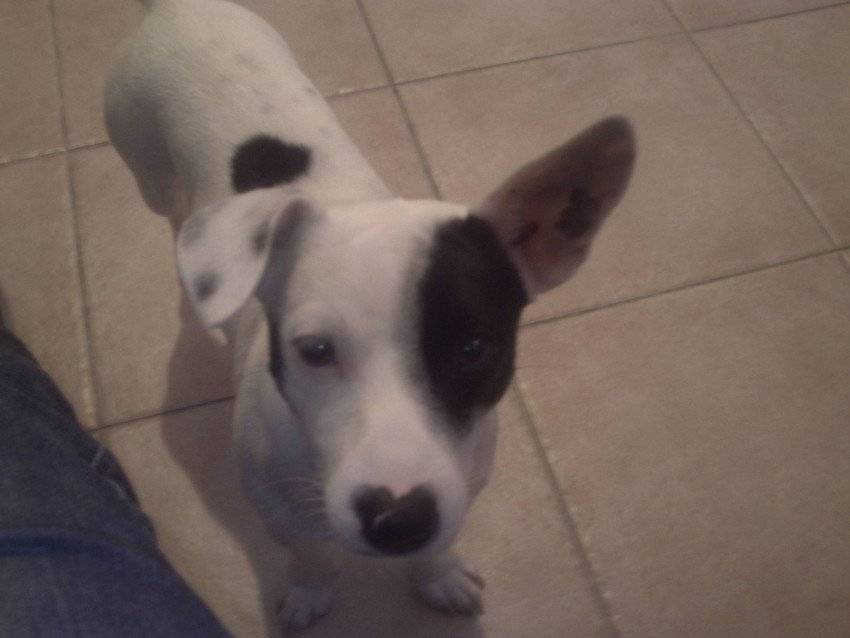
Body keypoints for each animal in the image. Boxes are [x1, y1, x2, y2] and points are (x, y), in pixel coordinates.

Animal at [104, 0, 635, 631]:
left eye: (474, 349)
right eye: (315, 351)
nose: (399, 519)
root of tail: (175, 8)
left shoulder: (462, 486)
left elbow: (439, 544)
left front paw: (437, 574)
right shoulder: (280, 512)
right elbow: (311, 555)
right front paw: (311, 590)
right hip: (145, 166)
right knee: (173, 215)